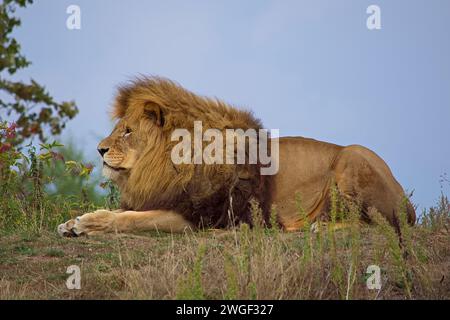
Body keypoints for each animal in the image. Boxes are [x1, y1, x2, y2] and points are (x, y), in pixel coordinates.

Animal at [57, 77, 414, 238]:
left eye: (128, 131)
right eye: (119, 129)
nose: (100, 149)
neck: (167, 166)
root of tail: (406, 200)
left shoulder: (198, 217)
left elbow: (130, 218)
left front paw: (89, 224)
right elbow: (124, 210)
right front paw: (73, 221)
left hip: (353, 157)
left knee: (380, 223)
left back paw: (315, 227)